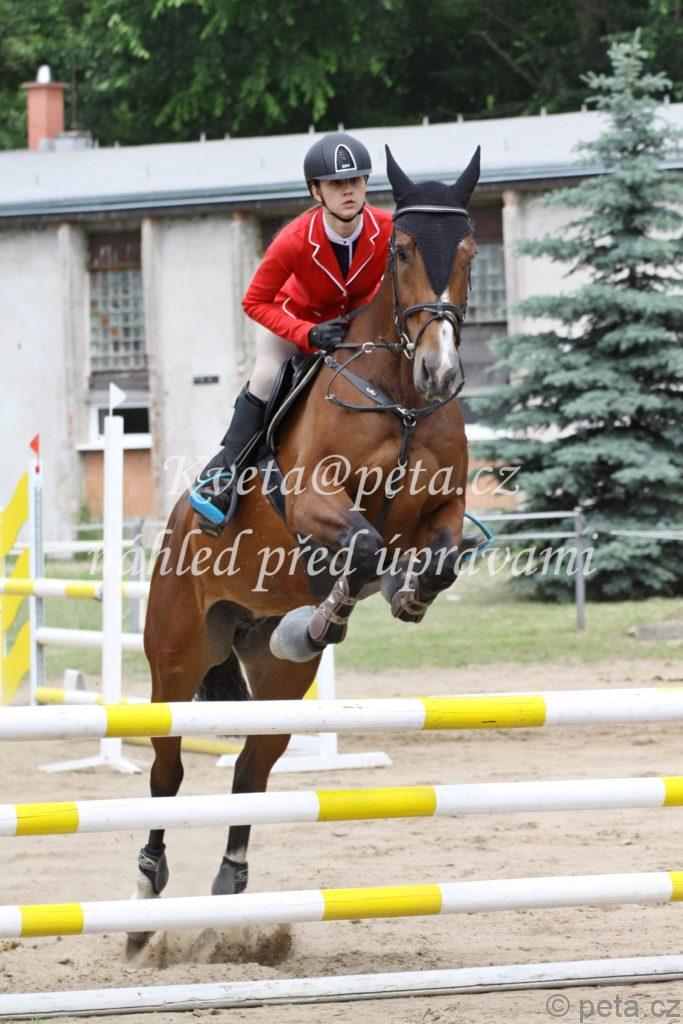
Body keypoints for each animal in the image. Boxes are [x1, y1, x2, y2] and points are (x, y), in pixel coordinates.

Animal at [135, 144, 481, 911]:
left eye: (471, 251)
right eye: (402, 251)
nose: (440, 372)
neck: (399, 398)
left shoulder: (439, 511)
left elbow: (434, 560)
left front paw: (402, 598)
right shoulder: (313, 502)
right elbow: (362, 544)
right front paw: (324, 620)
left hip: (273, 675)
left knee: (250, 770)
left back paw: (232, 879)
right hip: (175, 659)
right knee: (167, 770)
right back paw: (148, 873)